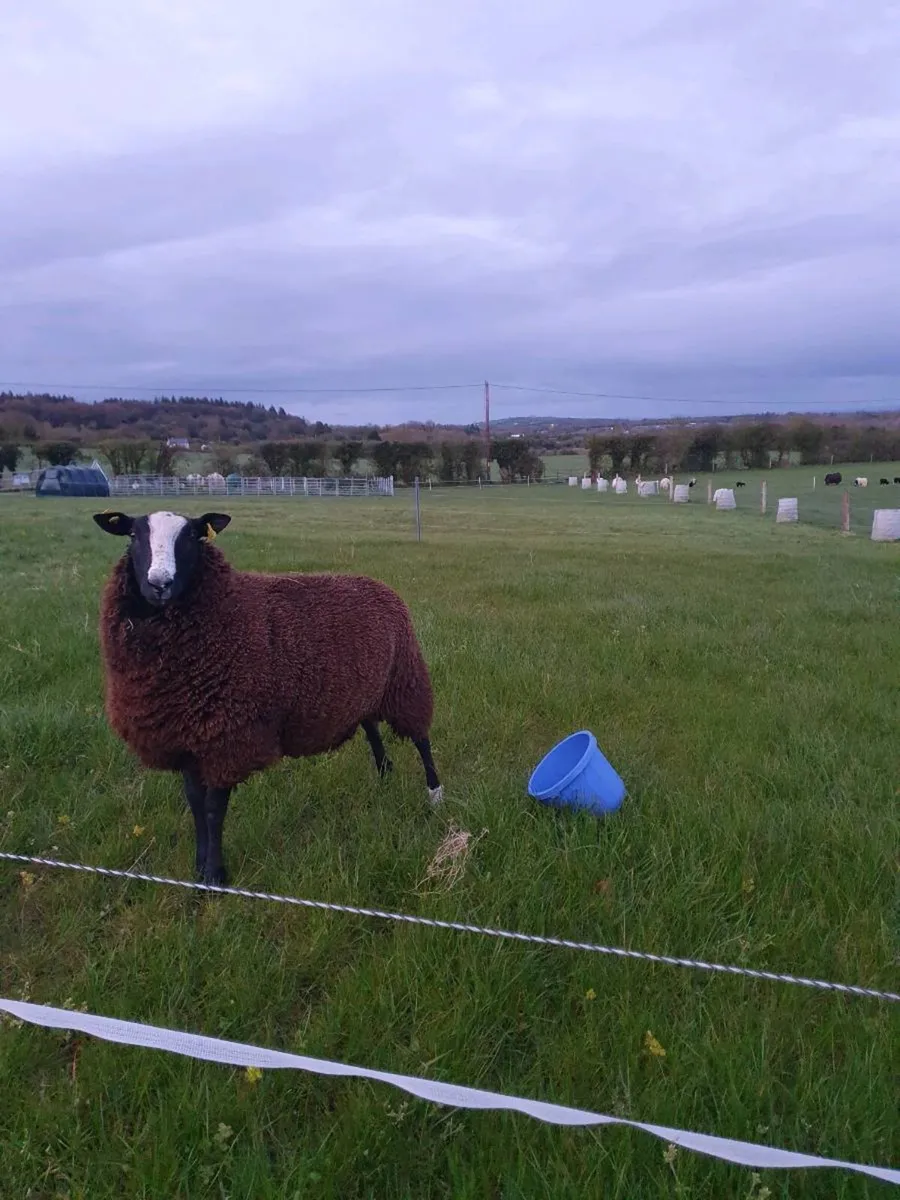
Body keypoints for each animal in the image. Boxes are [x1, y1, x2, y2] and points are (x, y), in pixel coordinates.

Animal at [93, 509, 442, 885]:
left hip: (405, 679)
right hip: (364, 690)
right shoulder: (187, 738)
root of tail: (380, 585)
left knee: (421, 738)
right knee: (373, 730)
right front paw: (199, 869)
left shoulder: (229, 738)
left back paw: (435, 795)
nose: (160, 583)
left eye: (191, 537)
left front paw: (215, 877)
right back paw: (385, 775)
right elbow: (195, 803)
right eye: (133, 535)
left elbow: (213, 809)